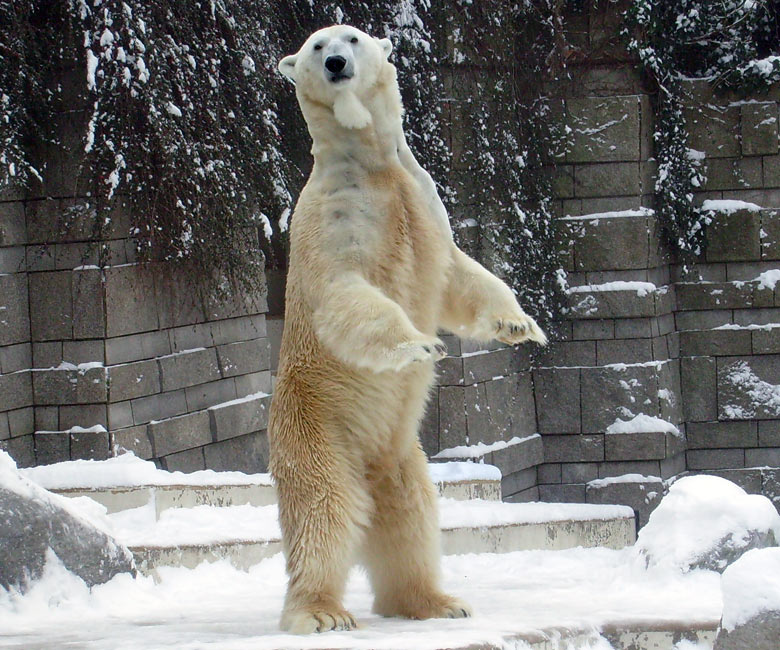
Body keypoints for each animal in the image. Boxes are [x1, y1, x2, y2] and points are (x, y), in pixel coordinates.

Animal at [272, 26, 544, 632]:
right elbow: (344, 292)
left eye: (351, 37)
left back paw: (435, 601)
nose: (336, 63)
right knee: (325, 513)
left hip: (400, 452)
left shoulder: (422, 200)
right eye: (317, 44)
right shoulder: (334, 218)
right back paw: (321, 612)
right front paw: (421, 345)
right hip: (316, 428)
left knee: (412, 518)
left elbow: (459, 275)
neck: (371, 162)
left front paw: (519, 323)